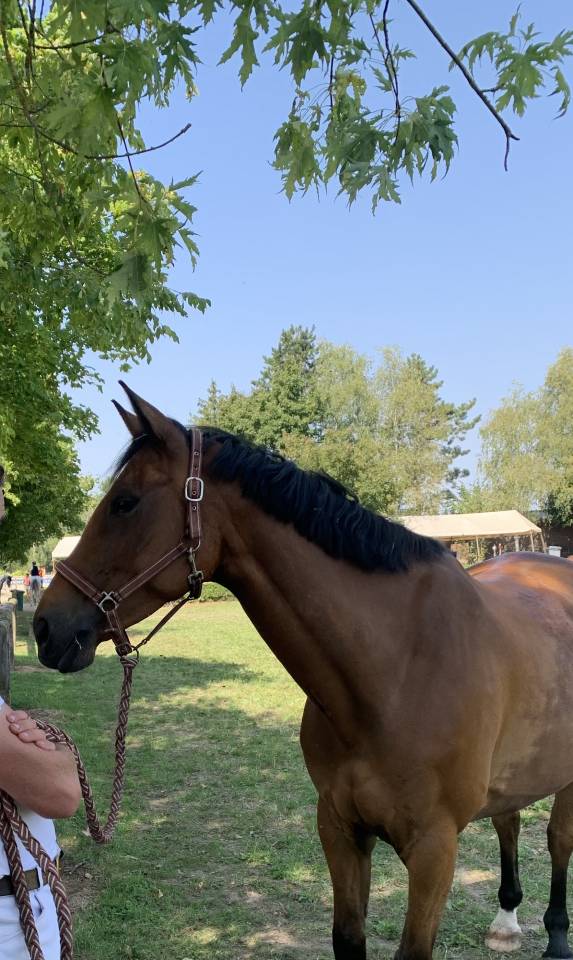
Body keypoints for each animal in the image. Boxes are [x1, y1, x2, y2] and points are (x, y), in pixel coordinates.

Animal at [34, 385, 573, 960]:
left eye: (125, 503)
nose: (46, 627)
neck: (397, 670)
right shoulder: (339, 829)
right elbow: (348, 938)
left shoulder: (434, 850)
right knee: (509, 819)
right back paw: (506, 920)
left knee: (557, 839)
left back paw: (556, 935)